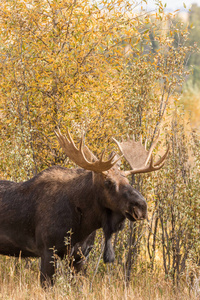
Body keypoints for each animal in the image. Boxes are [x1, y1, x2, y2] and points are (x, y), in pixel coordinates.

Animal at [0, 127, 169, 284]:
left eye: (128, 181)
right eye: (108, 182)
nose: (141, 207)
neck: (84, 223)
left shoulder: (80, 256)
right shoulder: (48, 251)